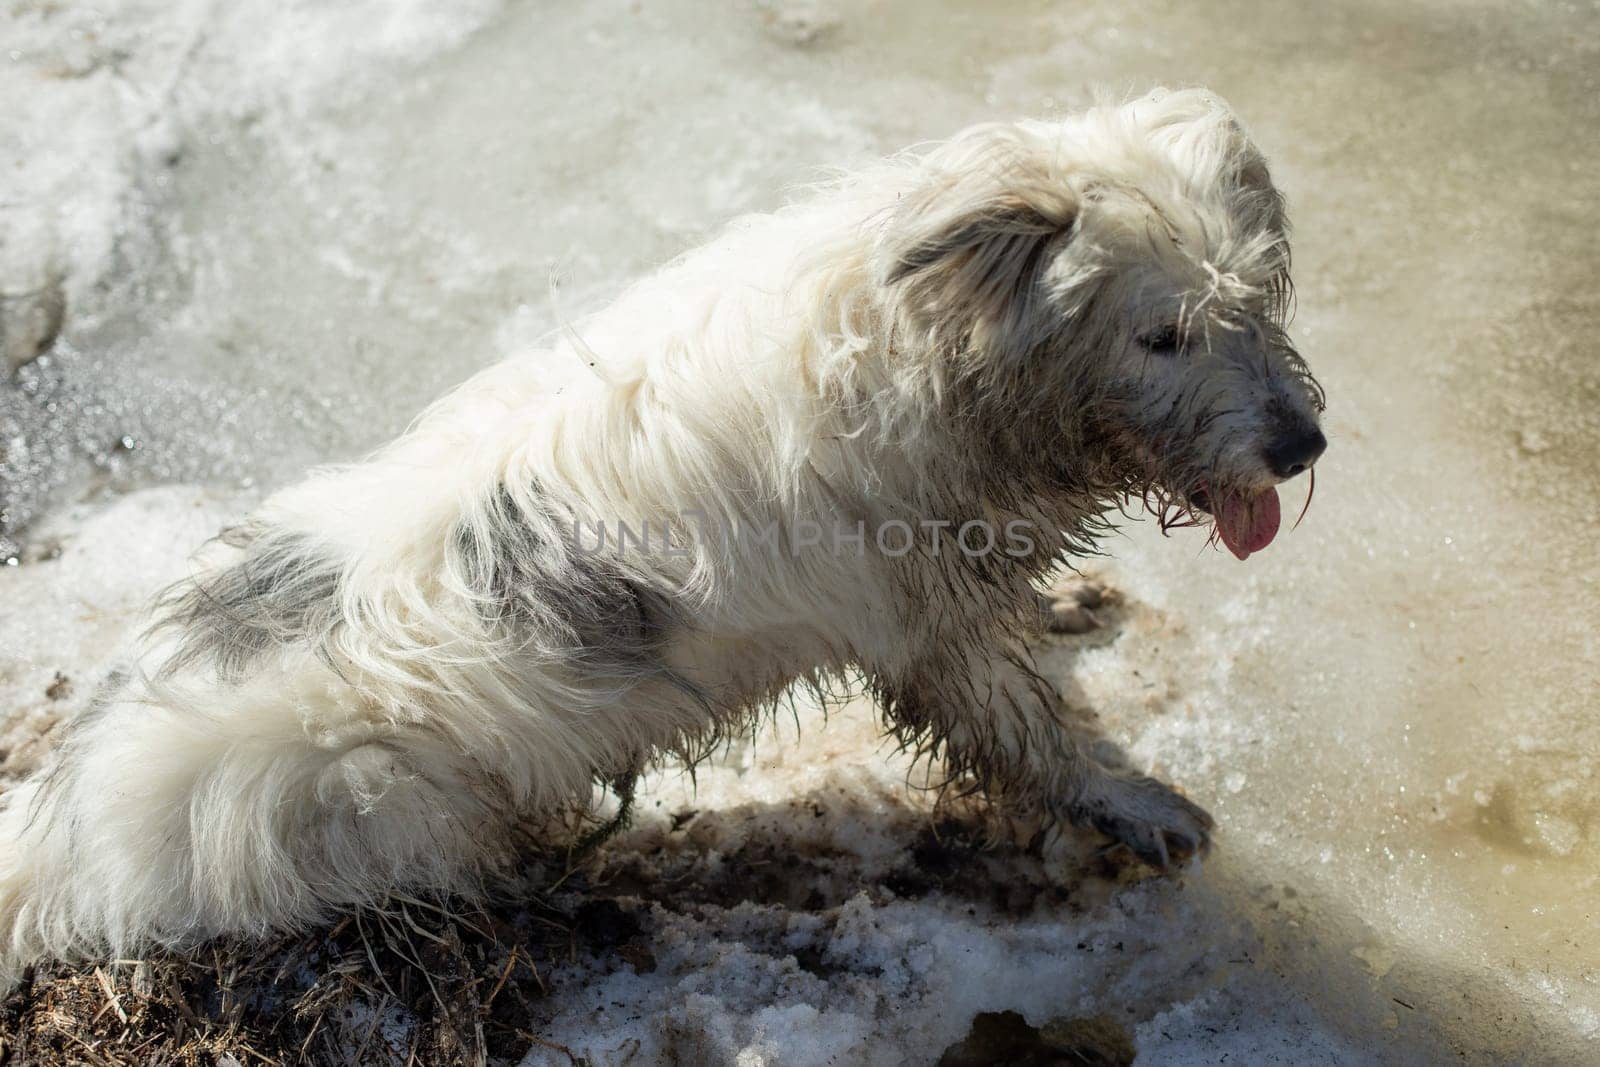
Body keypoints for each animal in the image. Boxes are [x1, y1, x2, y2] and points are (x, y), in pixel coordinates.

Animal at [0, 87, 1324, 991]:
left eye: (1256, 294)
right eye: (1160, 335)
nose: (1299, 444)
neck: (932, 349)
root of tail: (62, 817)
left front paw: (1067, 608)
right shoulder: (926, 632)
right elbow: (1033, 733)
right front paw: (1134, 801)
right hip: (381, 799)